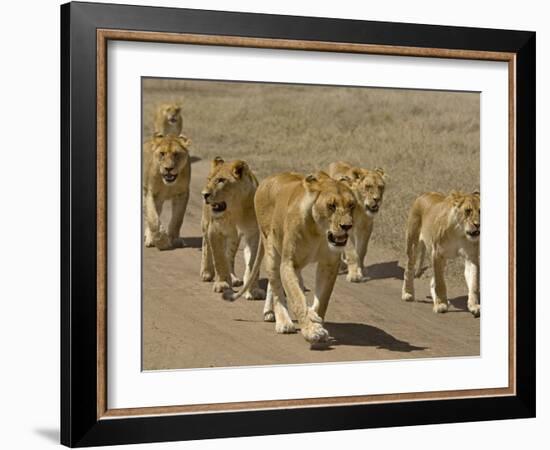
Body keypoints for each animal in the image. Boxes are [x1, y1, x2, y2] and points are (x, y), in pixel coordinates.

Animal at [201, 156, 268, 300]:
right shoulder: (214, 231)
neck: (235, 209)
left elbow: (252, 263)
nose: (204, 194)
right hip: (205, 224)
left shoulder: (253, 234)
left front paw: (253, 290)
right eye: (209, 179)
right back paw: (206, 272)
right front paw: (222, 284)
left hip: (234, 238)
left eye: (221, 180)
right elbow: (219, 259)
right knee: (206, 246)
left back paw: (233, 278)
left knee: (230, 256)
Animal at [227, 170, 358, 344]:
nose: (347, 226)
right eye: (331, 206)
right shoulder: (289, 263)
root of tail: (267, 180)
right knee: (276, 286)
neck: (319, 232)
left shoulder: (329, 265)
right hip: (271, 248)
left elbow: (322, 300)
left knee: (281, 284)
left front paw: (316, 319)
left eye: (351, 205)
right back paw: (282, 321)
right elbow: (296, 298)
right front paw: (311, 331)